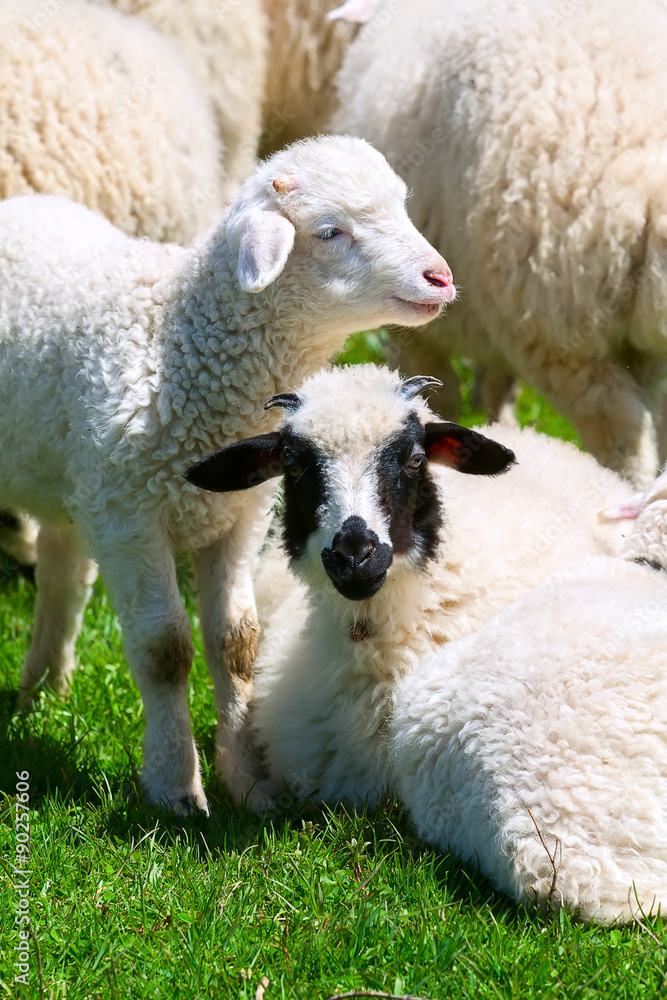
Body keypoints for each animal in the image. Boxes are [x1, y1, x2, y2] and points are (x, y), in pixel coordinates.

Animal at [4, 136, 454, 815]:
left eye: (401, 207)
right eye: (331, 232)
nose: (440, 276)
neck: (174, 344)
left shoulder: (238, 514)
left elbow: (236, 642)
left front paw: (250, 780)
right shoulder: (128, 514)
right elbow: (165, 649)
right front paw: (175, 786)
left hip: (70, 476)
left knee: (62, 567)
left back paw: (46, 688)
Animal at [330, 0, 667, 486]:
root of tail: (647, 186)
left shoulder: (415, 322)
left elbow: (436, 393)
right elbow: (495, 382)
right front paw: (497, 426)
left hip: (557, 326)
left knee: (618, 425)